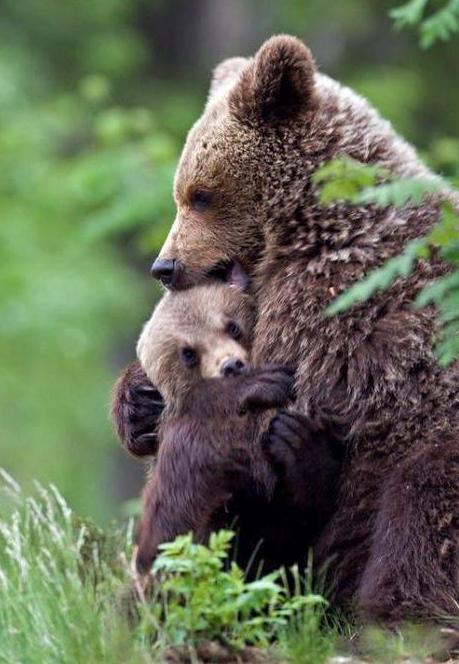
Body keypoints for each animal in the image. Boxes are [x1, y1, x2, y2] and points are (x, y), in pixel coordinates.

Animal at [112, 36, 459, 624]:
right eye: (181, 193)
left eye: (201, 194)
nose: (164, 266)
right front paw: (138, 402)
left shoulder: (335, 308)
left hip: (432, 440)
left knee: (420, 512)